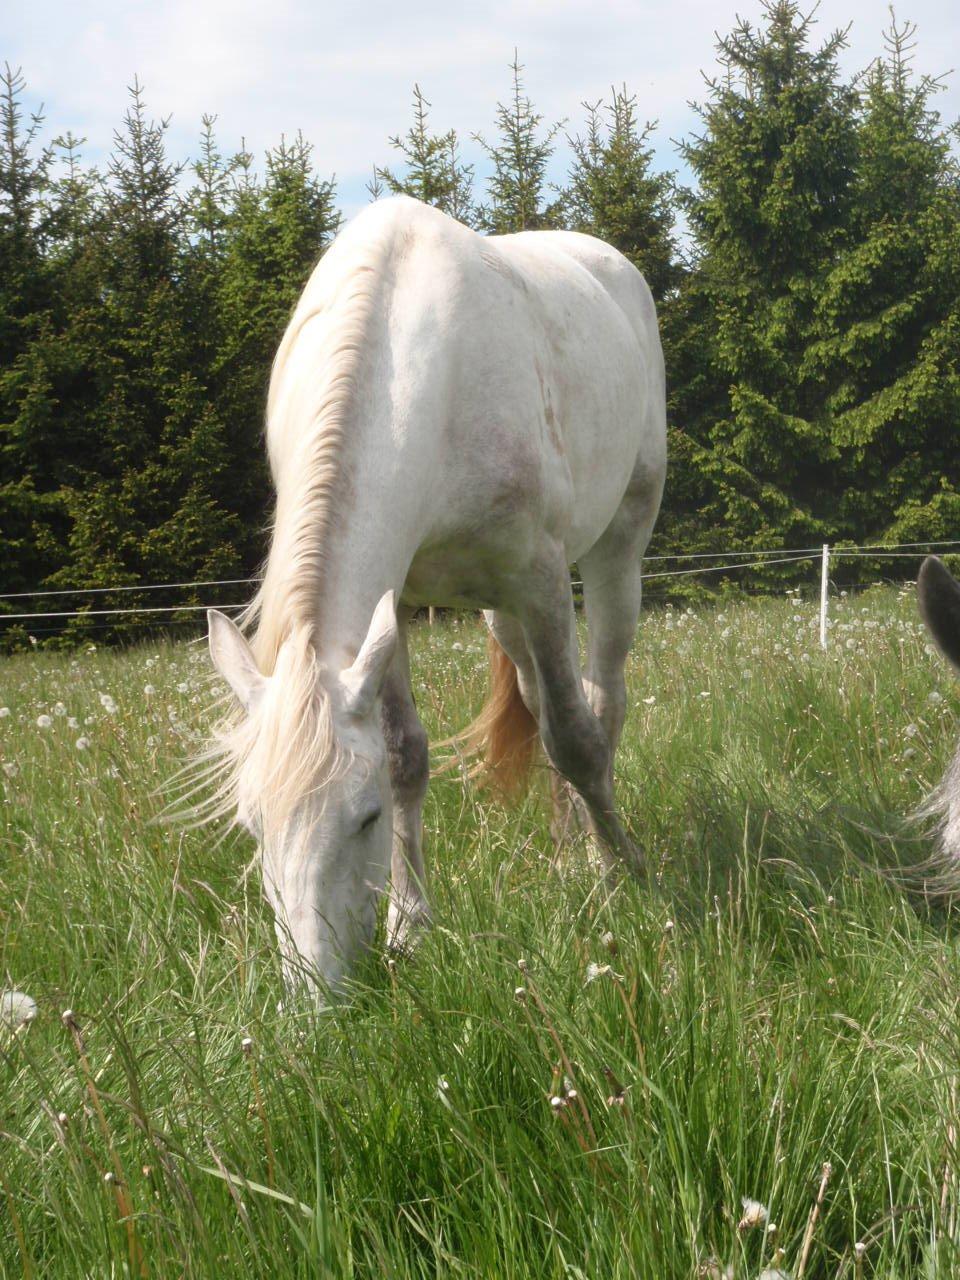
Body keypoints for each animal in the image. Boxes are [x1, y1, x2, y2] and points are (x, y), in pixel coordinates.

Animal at [204, 197, 670, 998]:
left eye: (363, 819)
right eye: (252, 825)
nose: (317, 1002)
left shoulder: (540, 579)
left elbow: (576, 739)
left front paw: (623, 874)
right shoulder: (384, 611)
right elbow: (407, 756)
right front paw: (410, 926)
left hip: (617, 550)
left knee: (600, 701)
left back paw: (597, 851)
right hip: (500, 612)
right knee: (541, 701)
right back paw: (564, 849)